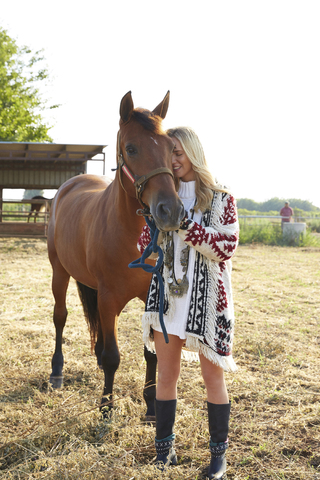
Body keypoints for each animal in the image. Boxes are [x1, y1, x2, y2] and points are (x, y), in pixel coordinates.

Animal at [46, 92, 184, 418]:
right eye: (131, 148)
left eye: (172, 149)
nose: (170, 210)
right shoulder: (109, 299)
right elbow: (113, 356)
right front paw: (106, 406)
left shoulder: (150, 297)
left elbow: (152, 355)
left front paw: (151, 406)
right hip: (59, 270)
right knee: (60, 317)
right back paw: (56, 372)